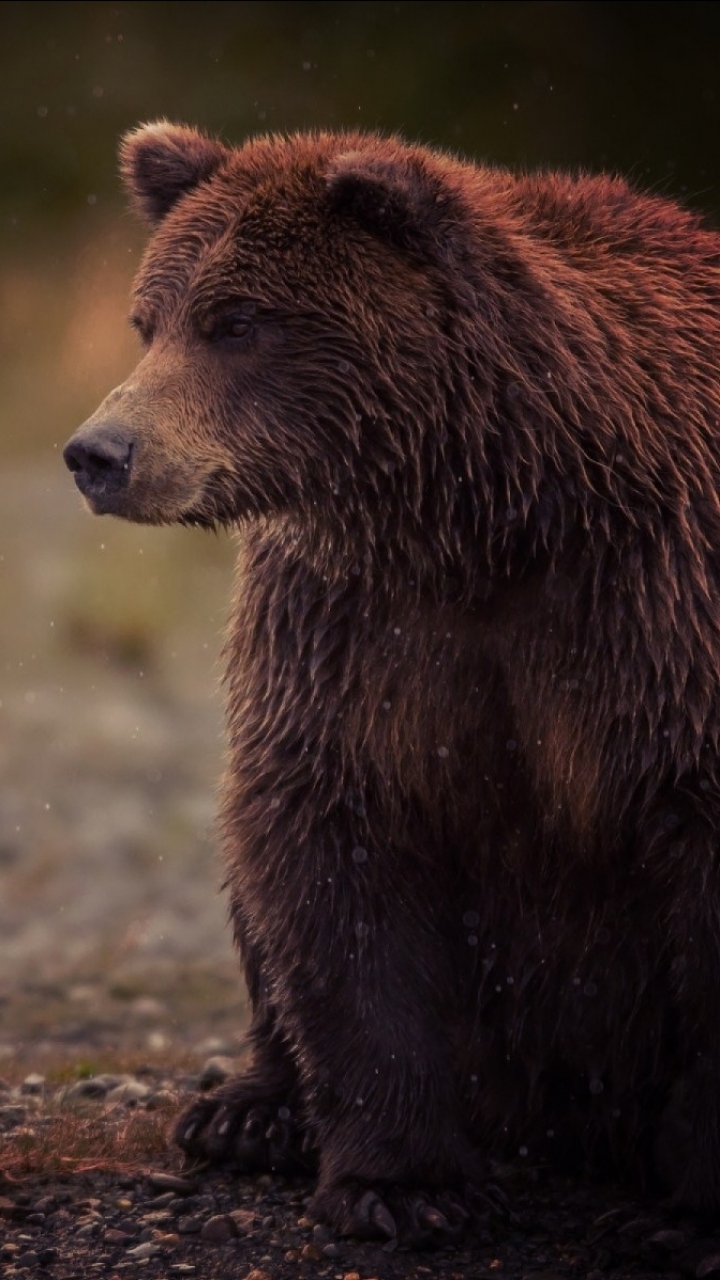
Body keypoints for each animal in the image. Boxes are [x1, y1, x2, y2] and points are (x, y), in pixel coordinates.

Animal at [63, 122, 720, 1249]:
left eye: (236, 320)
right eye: (148, 321)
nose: (99, 453)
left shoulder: (649, 604)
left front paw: (685, 1213)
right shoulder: (356, 628)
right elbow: (334, 844)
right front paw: (404, 1182)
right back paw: (248, 1111)